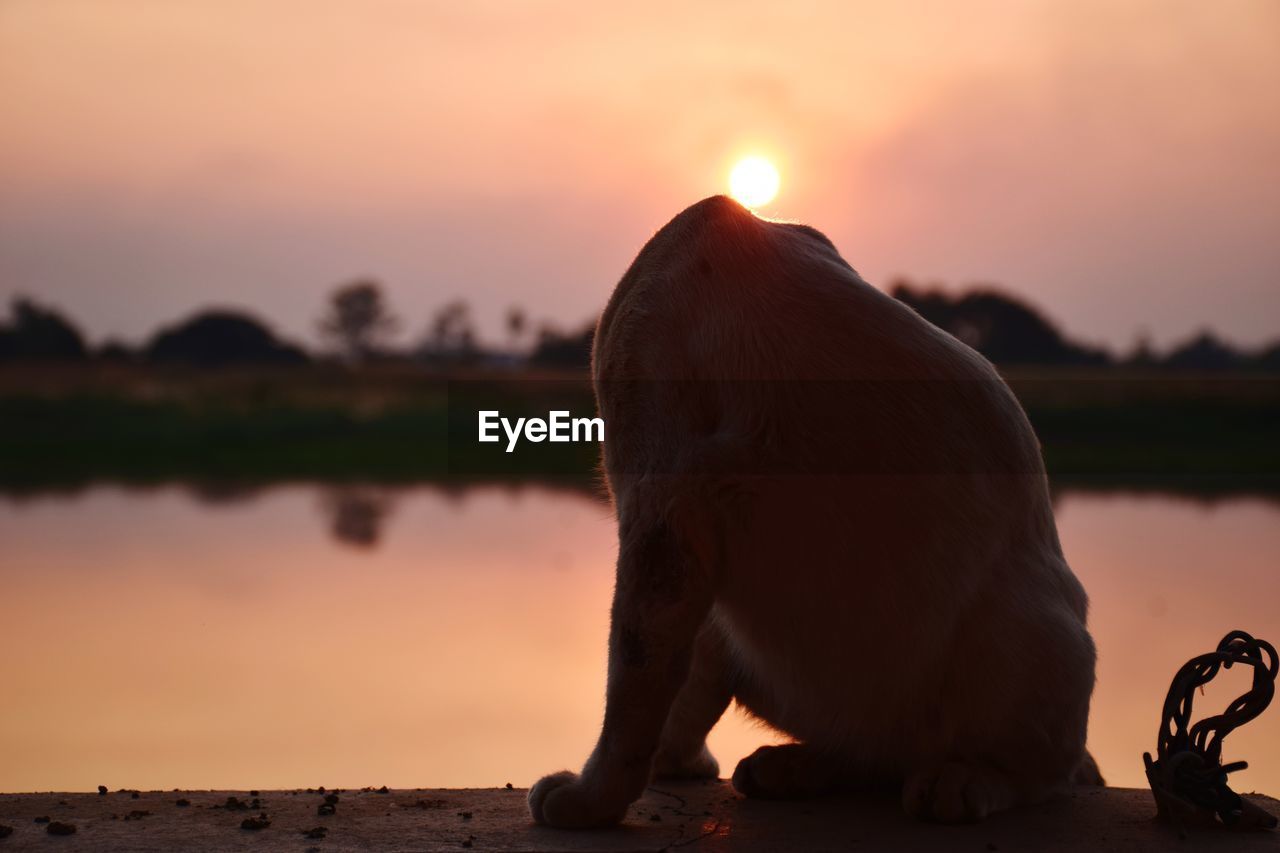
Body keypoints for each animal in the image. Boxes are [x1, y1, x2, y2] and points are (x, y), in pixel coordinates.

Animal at [524, 194, 1095, 824]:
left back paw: (964, 780)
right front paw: (675, 765)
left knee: (1046, 772)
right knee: (862, 753)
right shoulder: (692, 531)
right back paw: (797, 767)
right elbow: (685, 681)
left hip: (1037, 628)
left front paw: (590, 801)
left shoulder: (660, 506)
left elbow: (635, 676)